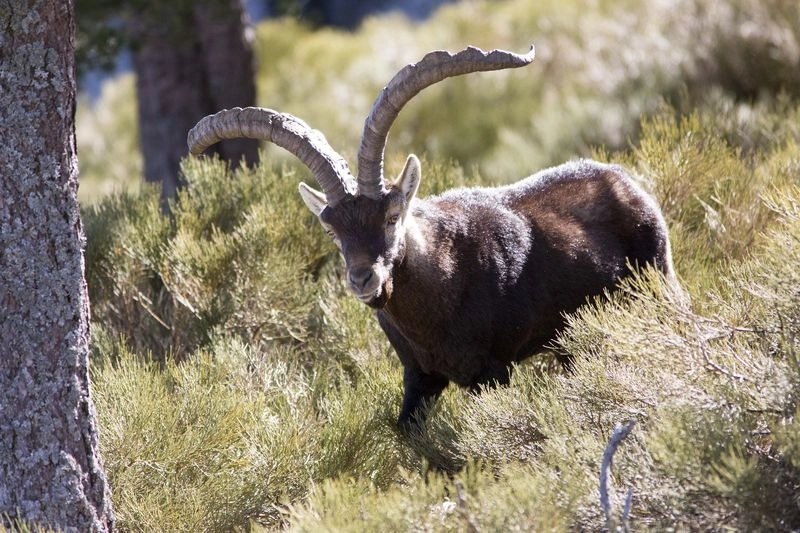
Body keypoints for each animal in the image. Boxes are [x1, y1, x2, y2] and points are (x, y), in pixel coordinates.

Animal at [187, 45, 675, 429]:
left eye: (392, 217)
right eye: (332, 230)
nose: (363, 279)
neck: (440, 287)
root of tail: (626, 181)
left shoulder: (492, 372)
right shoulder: (420, 378)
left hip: (659, 284)